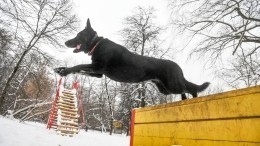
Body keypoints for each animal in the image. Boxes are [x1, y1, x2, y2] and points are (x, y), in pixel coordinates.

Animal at [54, 18, 209, 100]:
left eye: (78, 35)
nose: (65, 42)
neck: (96, 43)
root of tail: (178, 67)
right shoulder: (97, 73)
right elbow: (79, 69)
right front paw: (60, 69)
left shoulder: (97, 67)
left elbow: (78, 66)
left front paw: (65, 71)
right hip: (165, 89)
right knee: (184, 90)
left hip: (172, 85)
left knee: (189, 88)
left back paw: (195, 97)